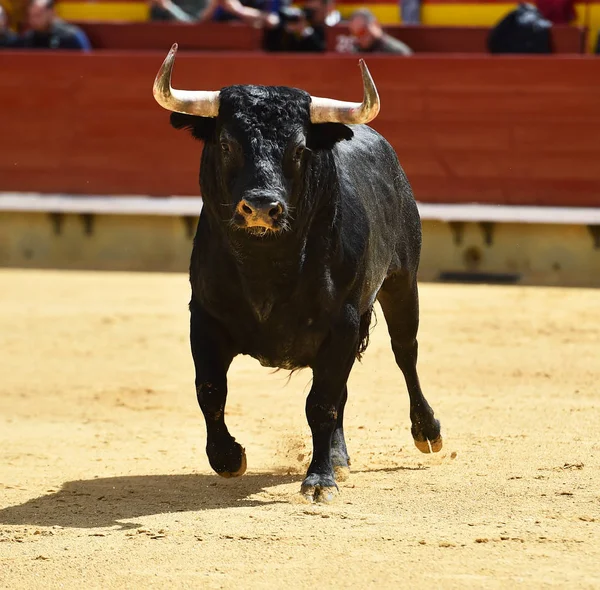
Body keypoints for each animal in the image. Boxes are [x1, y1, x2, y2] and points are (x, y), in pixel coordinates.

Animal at [159, 68, 440, 504]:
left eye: (298, 149)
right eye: (226, 144)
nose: (260, 207)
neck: (266, 263)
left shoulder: (342, 323)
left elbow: (321, 404)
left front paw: (319, 481)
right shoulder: (204, 317)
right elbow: (210, 389)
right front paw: (228, 458)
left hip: (402, 283)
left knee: (405, 352)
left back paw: (426, 432)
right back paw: (339, 458)